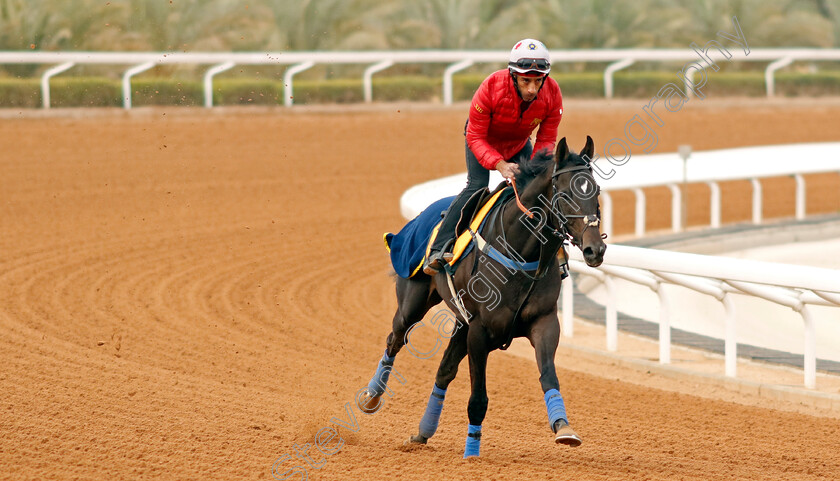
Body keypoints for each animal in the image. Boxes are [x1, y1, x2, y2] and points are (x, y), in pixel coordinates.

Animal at [358, 136, 608, 458]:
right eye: (565, 193)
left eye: (596, 191)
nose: (594, 250)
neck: (519, 251)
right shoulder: (479, 329)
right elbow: (478, 397)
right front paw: (472, 453)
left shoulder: (544, 322)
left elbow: (548, 375)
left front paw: (563, 427)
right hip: (413, 302)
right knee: (395, 339)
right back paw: (372, 395)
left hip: (460, 322)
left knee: (443, 370)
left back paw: (423, 432)